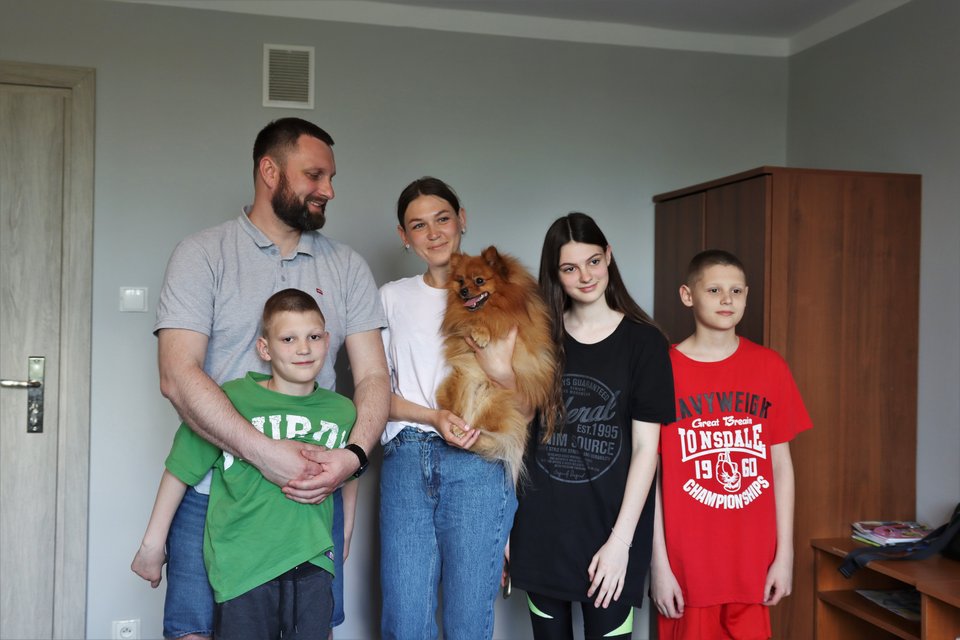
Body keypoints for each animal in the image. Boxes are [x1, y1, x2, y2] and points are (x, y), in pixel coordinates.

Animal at [436, 245, 564, 480]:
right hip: (462, 382)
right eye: (460, 280)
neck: (494, 306)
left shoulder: (517, 329)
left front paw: (482, 333)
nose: (464, 291)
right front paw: (479, 331)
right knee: (462, 415)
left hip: (495, 401)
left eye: (479, 280)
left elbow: (491, 323)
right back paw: (459, 428)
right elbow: (468, 323)